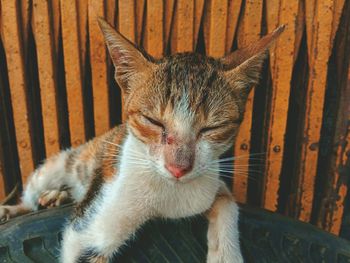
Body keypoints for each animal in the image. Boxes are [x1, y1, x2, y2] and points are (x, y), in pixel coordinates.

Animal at [0, 19, 284, 263]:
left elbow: (227, 201)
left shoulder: (207, 183)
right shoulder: (87, 232)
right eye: (153, 121)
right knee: (32, 194)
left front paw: (225, 253)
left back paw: (57, 196)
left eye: (212, 127)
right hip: (62, 164)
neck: (170, 194)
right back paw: (16, 208)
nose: (178, 168)